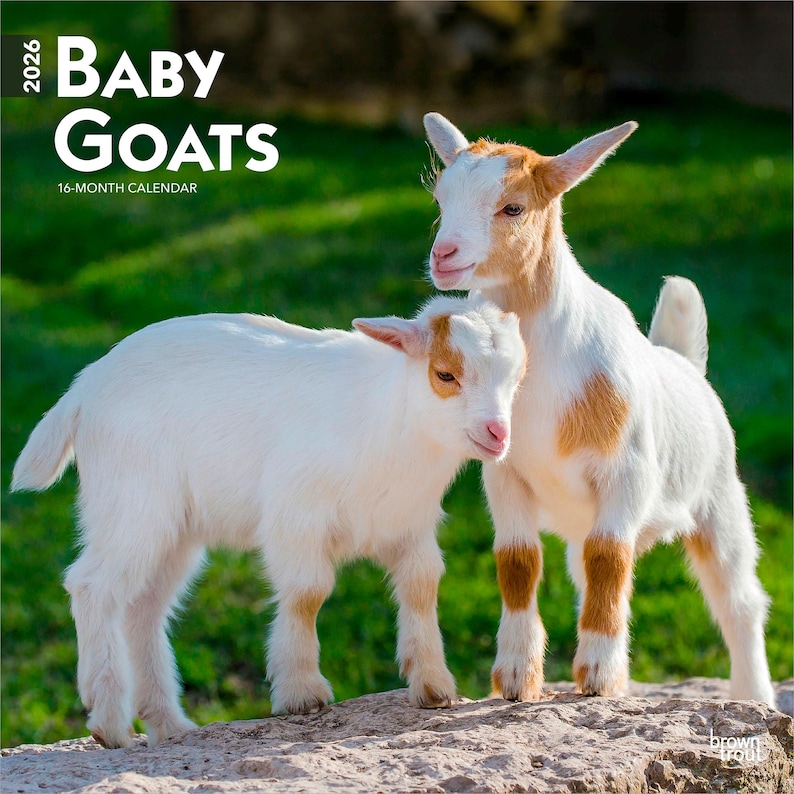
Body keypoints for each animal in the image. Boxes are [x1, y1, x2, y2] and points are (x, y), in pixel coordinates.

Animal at [11, 296, 527, 748]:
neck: (391, 418)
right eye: (445, 374)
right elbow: (307, 593)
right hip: (133, 505)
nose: (498, 434)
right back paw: (110, 725)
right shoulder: (296, 515)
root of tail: (82, 391)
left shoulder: (409, 524)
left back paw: (171, 727)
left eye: (516, 376)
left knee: (144, 607)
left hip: (176, 530)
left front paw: (434, 687)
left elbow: (422, 586)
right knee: (92, 586)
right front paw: (301, 692)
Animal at [422, 112, 776, 708]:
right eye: (440, 197)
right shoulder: (504, 473)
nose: (443, 256)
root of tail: (682, 361)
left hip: (721, 499)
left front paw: (597, 678)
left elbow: (611, 556)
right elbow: (519, 561)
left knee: (737, 599)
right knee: (588, 572)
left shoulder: (627, 471)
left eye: (513, 207)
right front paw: (516, 678)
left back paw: (755, 698)